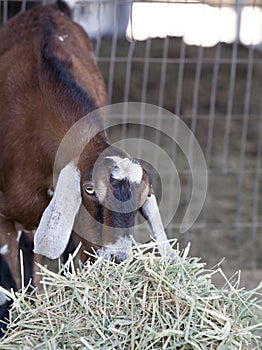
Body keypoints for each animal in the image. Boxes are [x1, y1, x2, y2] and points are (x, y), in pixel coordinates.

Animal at [0, 0, 172, 336]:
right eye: (89, 189)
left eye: (143, 198)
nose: (119, 257)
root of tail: (45, 9)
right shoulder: (3, 220)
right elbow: (13, 281)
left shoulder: (84, 232)